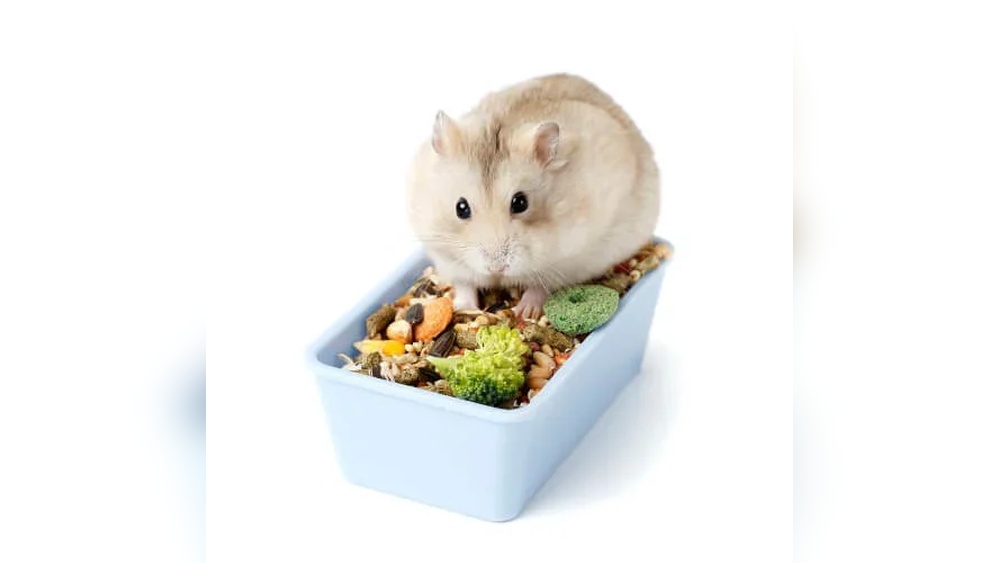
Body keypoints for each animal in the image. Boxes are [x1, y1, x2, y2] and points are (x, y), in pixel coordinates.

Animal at [405, 73, 660, 319]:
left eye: (520, 203)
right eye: (461, 208)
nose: (496, 268)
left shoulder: (573, 260)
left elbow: (541, 285)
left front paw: (525, 311)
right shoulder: (446, 256)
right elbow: (465, 283)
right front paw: (464, 308)